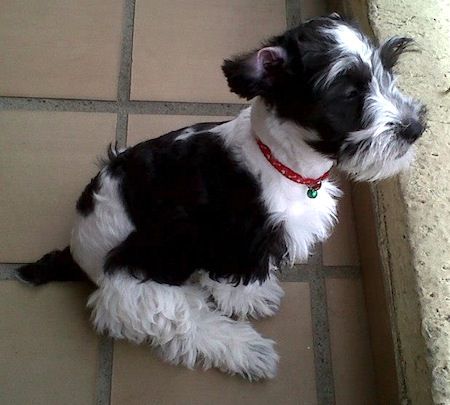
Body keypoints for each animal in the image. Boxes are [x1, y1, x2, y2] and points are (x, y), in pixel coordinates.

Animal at [18, 13, 426, 378]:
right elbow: (230, 275)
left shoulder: (223, 245)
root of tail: (77, 253)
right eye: (348, 93)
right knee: (186, 327)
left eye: (388, 69)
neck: (277, 157)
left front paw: (253, 295)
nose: (414, 127)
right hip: (141, 283)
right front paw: (248, 302)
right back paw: (249, 352)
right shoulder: (232, 241)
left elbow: (227, 276)